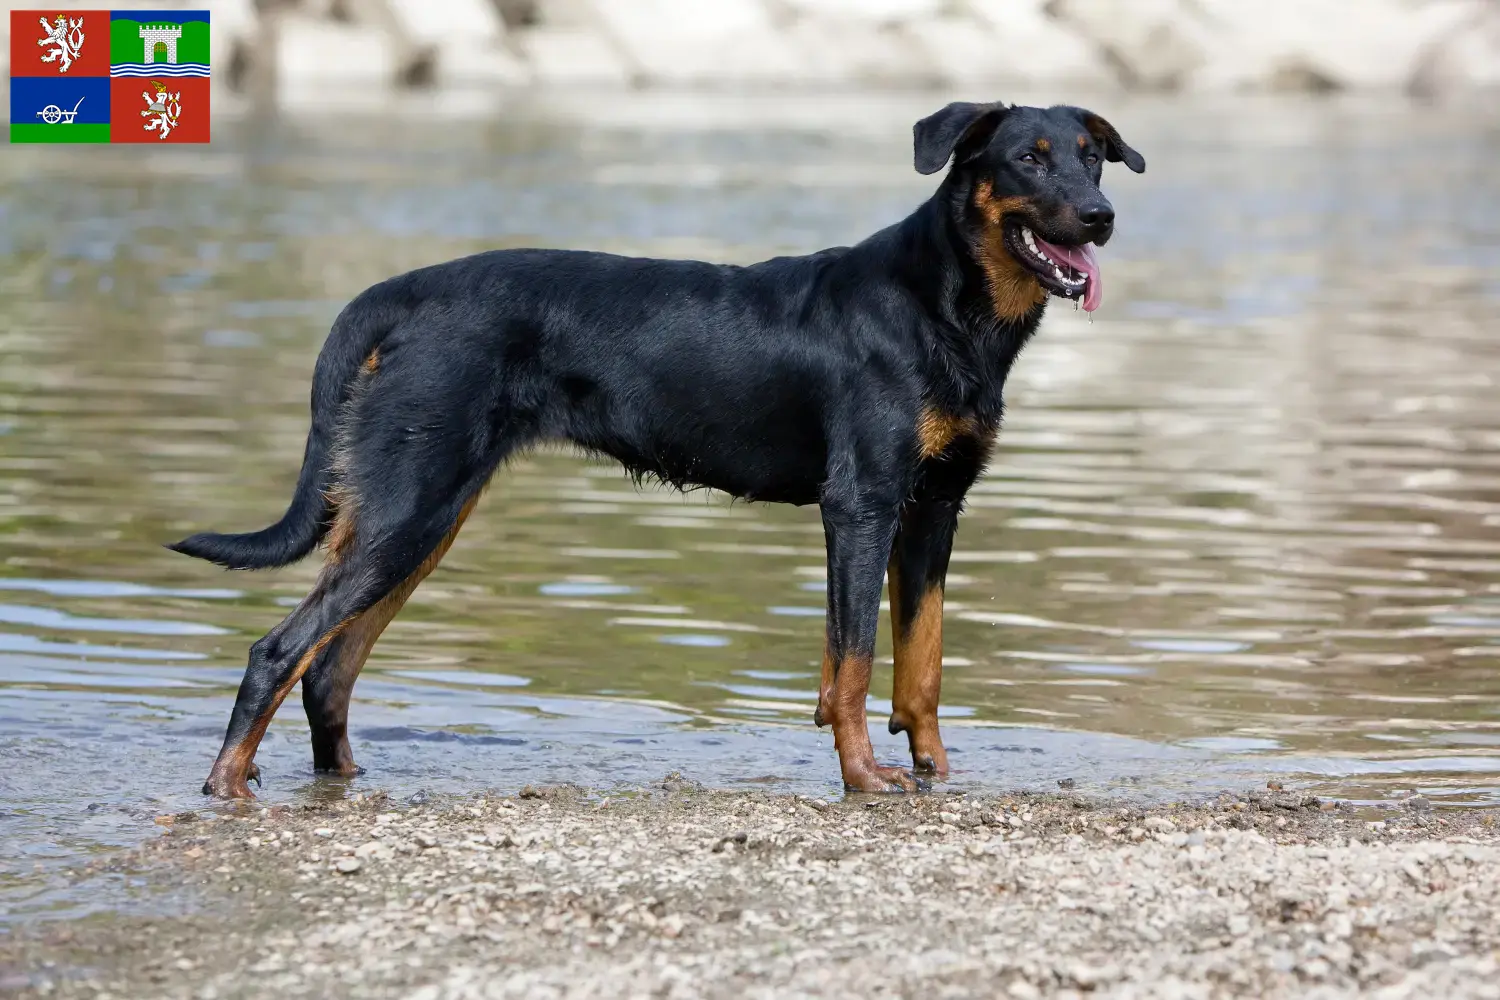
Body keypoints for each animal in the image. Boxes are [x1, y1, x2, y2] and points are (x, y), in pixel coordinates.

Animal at [170, 101, 1140, 797]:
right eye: (1029, 158)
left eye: (1090, 155)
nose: (1101, 216)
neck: (945, 307)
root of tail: (393, 295)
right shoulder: (860, 505)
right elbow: (857, 661)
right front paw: (867, 779)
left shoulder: (933, 508)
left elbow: (922, 662)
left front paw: (933, 771)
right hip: (411, 508)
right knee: (279, 652)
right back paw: (226, 787)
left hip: (420, 514)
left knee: (328, 668)